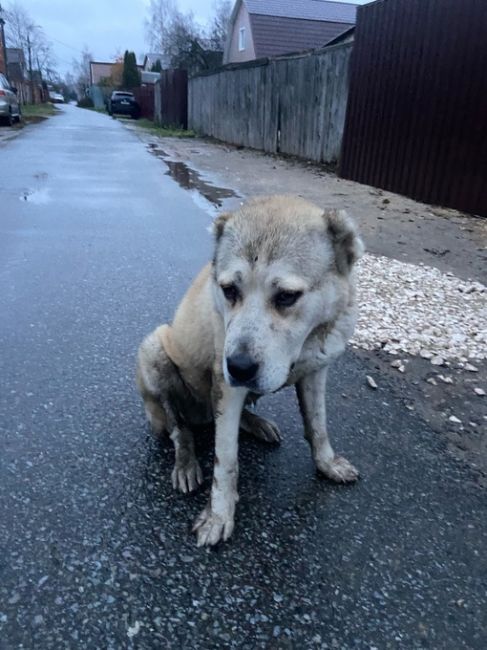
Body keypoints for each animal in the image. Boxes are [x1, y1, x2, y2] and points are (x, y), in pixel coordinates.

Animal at [135, 195, 364, 544]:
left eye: (287, 296)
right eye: (229, 290)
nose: (239, 367)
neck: (306, 343)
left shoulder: (316, 371)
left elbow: (318, 424)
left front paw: (326, 463)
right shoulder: (227, 389)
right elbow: (226, 459)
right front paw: (219, 514)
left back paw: (256, 423)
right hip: (153, 349)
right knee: (179, 428)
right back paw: (186, 459)